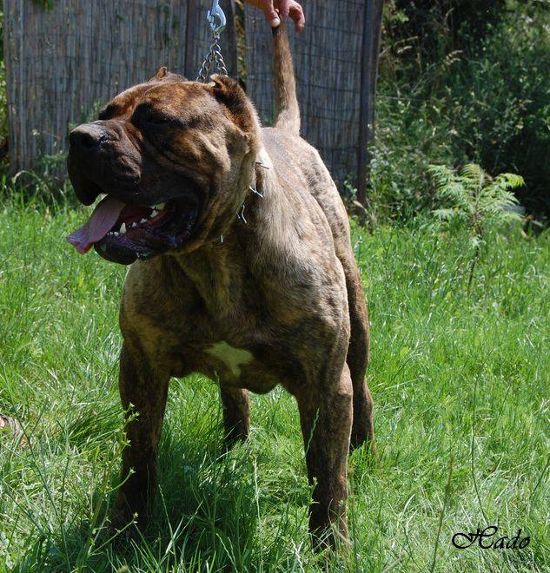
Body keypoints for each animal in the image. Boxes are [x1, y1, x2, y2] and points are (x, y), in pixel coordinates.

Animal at [66, 25, 376, 544]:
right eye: (105, 113)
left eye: (155, 121)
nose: (79, 137)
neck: (213, 257)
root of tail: (285, 130)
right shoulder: (140, 367)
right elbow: (138, 456)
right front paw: (125, 529)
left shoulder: (325, 384)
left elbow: (328, 475)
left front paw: (330, 546)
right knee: (234, 392)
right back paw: (233, 443)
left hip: (356, 316)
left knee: (362, 383)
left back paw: (365, 447)